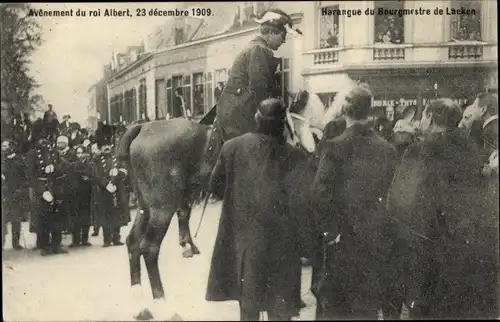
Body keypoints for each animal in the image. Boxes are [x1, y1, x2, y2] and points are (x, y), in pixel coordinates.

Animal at [117, 92, 332, 320]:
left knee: (133, 243)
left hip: (146, 207)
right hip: (162, 208)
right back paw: (163, 303)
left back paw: (140, 304)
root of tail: (142, 128)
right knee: (149, 248)